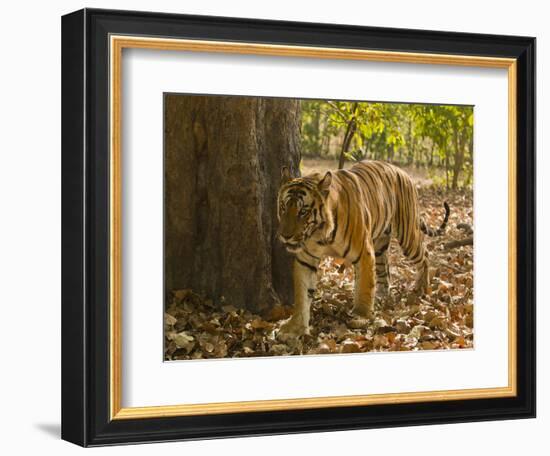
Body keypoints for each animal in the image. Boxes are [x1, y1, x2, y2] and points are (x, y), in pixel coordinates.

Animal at [278, 159, 450, 336]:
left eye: (303, 211)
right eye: (283, 207)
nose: (285, 236)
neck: (320, 234)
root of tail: (403, 172)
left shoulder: (364, 253)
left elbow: (364, 287)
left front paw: (361, 317)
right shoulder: (306, 259)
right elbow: (302, 294)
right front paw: (294, 327)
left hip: (408, 236)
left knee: (425, 254)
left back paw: (421, 288)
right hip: (380, 246)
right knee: (385, 271)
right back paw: (381, 295)